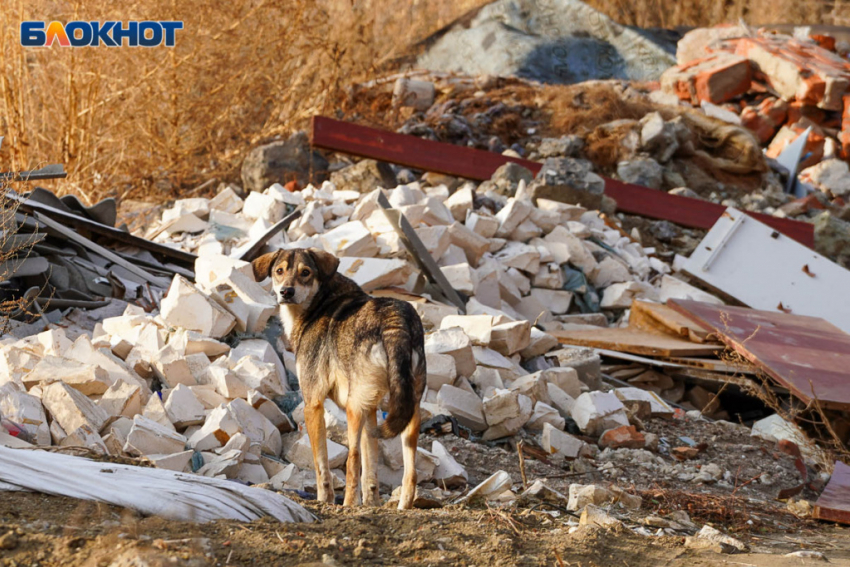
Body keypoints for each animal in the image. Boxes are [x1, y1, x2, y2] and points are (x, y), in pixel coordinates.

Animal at [250, 248, 424, 510]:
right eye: (279, 271)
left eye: (305, 272)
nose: (286, 292)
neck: (318, 302)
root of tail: (395, 322)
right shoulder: (371, 409)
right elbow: (371, 470)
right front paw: (371, 504)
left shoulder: (312, 404)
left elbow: (321, 464)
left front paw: (325, 500)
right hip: (409, 409)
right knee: (410, 471)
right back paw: (402, 506)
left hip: (353, 409)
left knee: (353, 459)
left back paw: (348, 505)